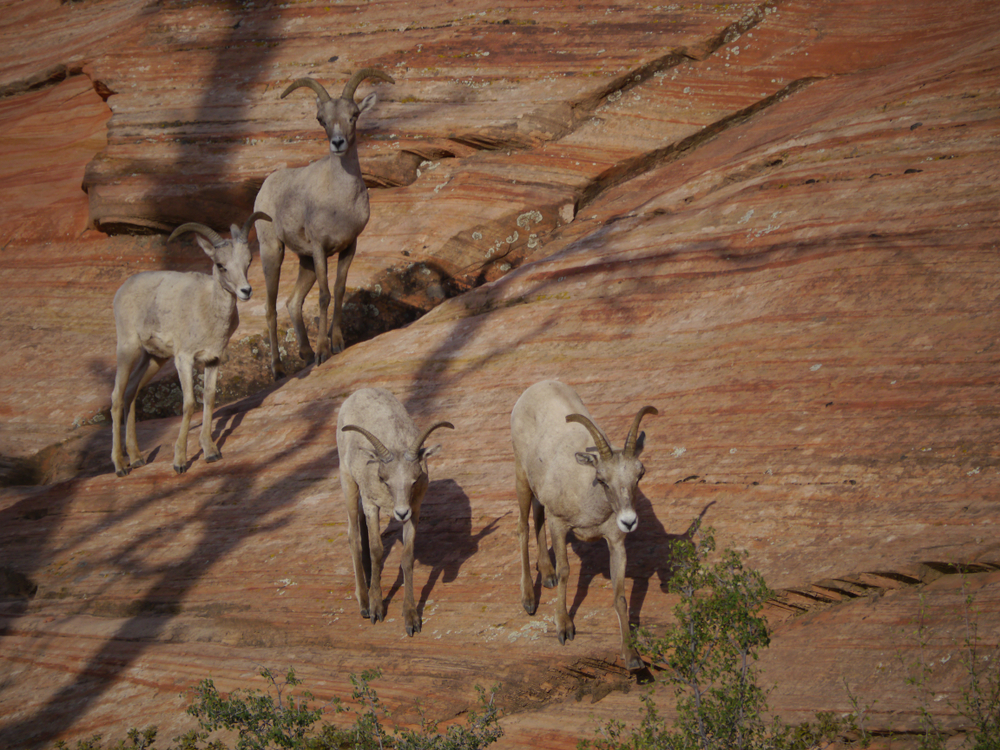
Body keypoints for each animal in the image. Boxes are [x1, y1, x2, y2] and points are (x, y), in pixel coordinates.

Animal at [110, 212, 271, 477]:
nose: (245, 291)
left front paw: (211, 452)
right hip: (128, 348)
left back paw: (137, 458)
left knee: (131, 392)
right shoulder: (184, 359)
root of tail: (123, 288)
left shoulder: (213, 360)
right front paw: (180, 462)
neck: (208, 311)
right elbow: (188, 404)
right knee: (116, 397)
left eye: (247, 261)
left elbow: (209, 398)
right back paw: (121, 466)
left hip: (154, 358)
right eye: (221, 265)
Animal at [254, 68, 395, 380]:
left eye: (354, 115)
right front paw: (322, 354)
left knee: (292, 302)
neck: (339, 202)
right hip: (273, 252)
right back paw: (279, 369)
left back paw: (305, 354)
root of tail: (265, 186)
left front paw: (337, 344)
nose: (338, 143)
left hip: (303, 261)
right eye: (322, 120)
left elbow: (339, 290)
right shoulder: (320, 249)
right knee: (270, 308)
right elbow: (324, 296)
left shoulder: (348, 247)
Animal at [337, 388, 454, 636]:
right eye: (384, 479)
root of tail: (360, 391)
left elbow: (407, 557)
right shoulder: (372, 506)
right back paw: (363, 602)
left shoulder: (414, 511)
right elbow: (376, 550)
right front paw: (376, 609)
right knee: (353, 536)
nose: (400, 513)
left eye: (414, 479)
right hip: (348, 483)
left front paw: (411, 619)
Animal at [510, 379, 657, 670]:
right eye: (601, 479)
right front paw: (564, 628)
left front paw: (632, 657)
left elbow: (620, 595)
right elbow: (566, 572)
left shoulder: (616, 542)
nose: (628, 521)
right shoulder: (560, 526)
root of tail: (535, 386)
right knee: (522, 527)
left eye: (640, 474)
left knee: (537, 517)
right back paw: (529, 599)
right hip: (521, 478)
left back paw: (547, 576)